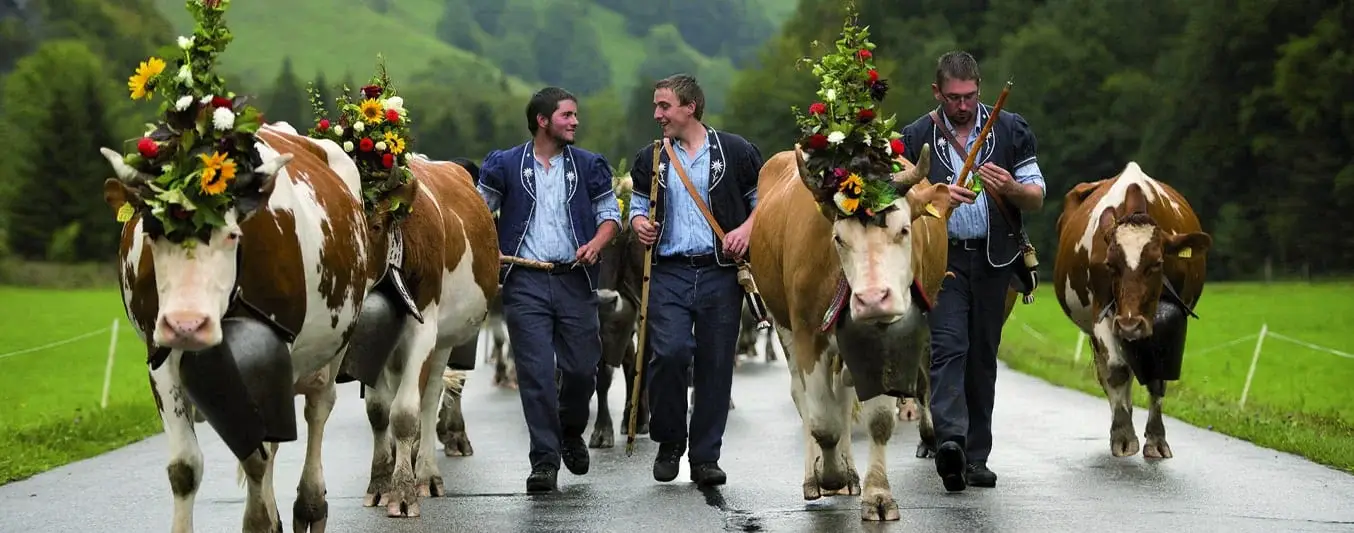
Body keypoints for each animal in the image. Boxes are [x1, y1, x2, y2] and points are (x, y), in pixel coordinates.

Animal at [98, 121, 376, 533]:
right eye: (151, 231)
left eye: (231, 234)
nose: (186, 324)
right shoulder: (160, 357)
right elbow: (184, 467)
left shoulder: (273, 353)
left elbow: (256, 453)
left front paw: (260, 521)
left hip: (334, 347)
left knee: (317, 409)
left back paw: (309, 505)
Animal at [357, 152, 500, 516]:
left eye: (375, 226)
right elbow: (378, 411)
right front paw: (380, 482)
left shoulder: (423, 330)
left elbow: (406, 412)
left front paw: (403, 492)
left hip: (444, 340)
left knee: (430, 395)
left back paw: (426, 475)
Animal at [752, 142, 953, 519]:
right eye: (838, 238)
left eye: (903, 230)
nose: (872, 298)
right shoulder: (807, 334)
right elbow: (822, 422)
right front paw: (829, 475)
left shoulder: (885, 339)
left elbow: (877, 419)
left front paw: (878, 494)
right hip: (784, 328)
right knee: (802, 396)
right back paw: (816, 475)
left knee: (844, 398)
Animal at [1050, 161, 1213, 457]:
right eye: (1110, 264)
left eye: (1157, 263)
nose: (1129, 324)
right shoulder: (1103, 314)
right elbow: (1116, 371)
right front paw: (1123, 434)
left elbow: (1157, 377)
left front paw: (1156, 439)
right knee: (1111, 370)